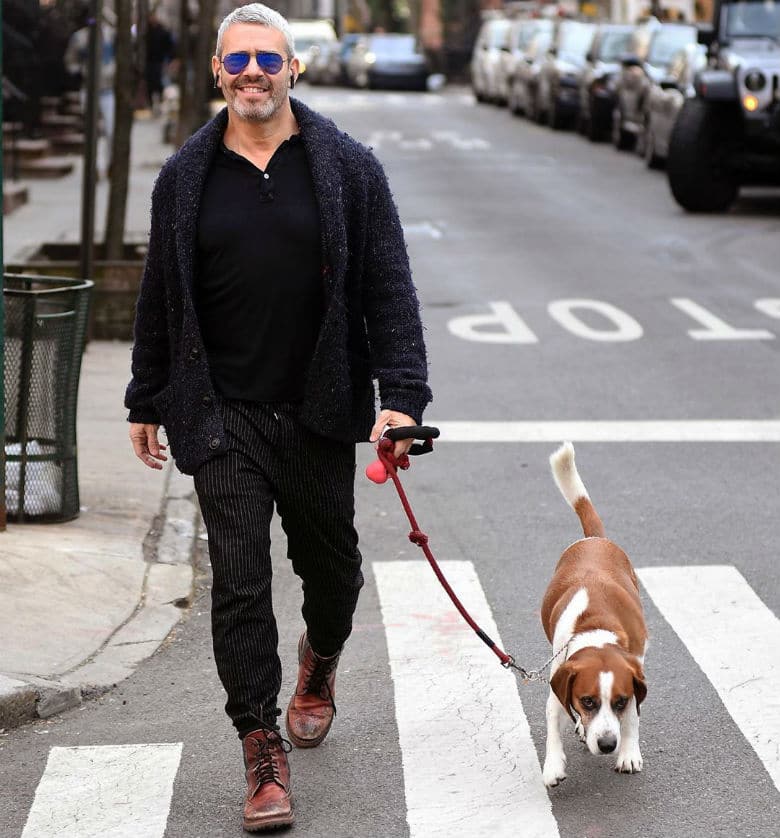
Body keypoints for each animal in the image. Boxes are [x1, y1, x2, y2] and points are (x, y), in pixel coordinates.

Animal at [540, 442, 648, 792]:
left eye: (619, 701)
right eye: (587, 701)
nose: (607, 745)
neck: (597, 627)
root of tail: (595, 540)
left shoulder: (635, 674)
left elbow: (633, 717)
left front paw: (628, 750)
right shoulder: (558, 676)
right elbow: (552, 716)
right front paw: (553, 764)